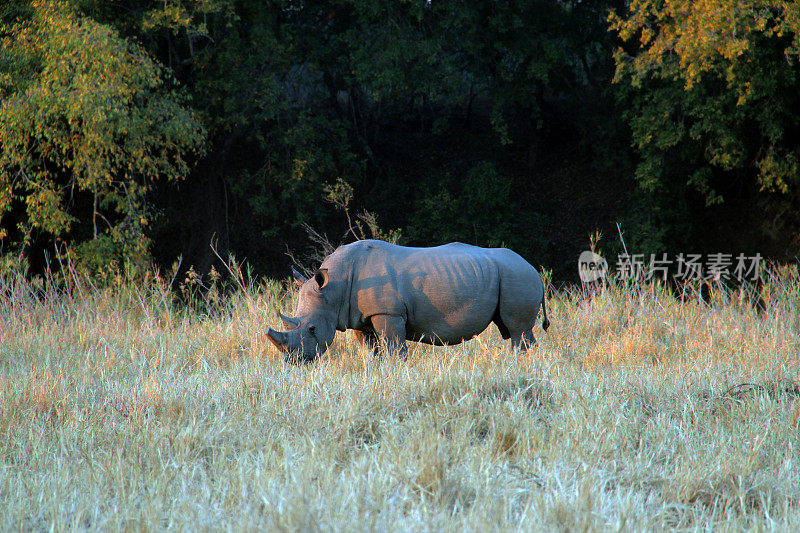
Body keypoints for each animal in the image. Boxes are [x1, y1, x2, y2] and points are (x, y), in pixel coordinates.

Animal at [266, 240, 548, 362]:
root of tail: (535, 270)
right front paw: (375, 368)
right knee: (513, 330)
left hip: (517, 276)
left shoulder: (388, 313)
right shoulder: (359, 316)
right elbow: (370, 349)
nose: (296, 360)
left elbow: (393, 347)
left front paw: (397, 370)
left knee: (517, 330)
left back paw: (518, 364)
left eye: (313, 329)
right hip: (510, 275)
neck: (334, 287)